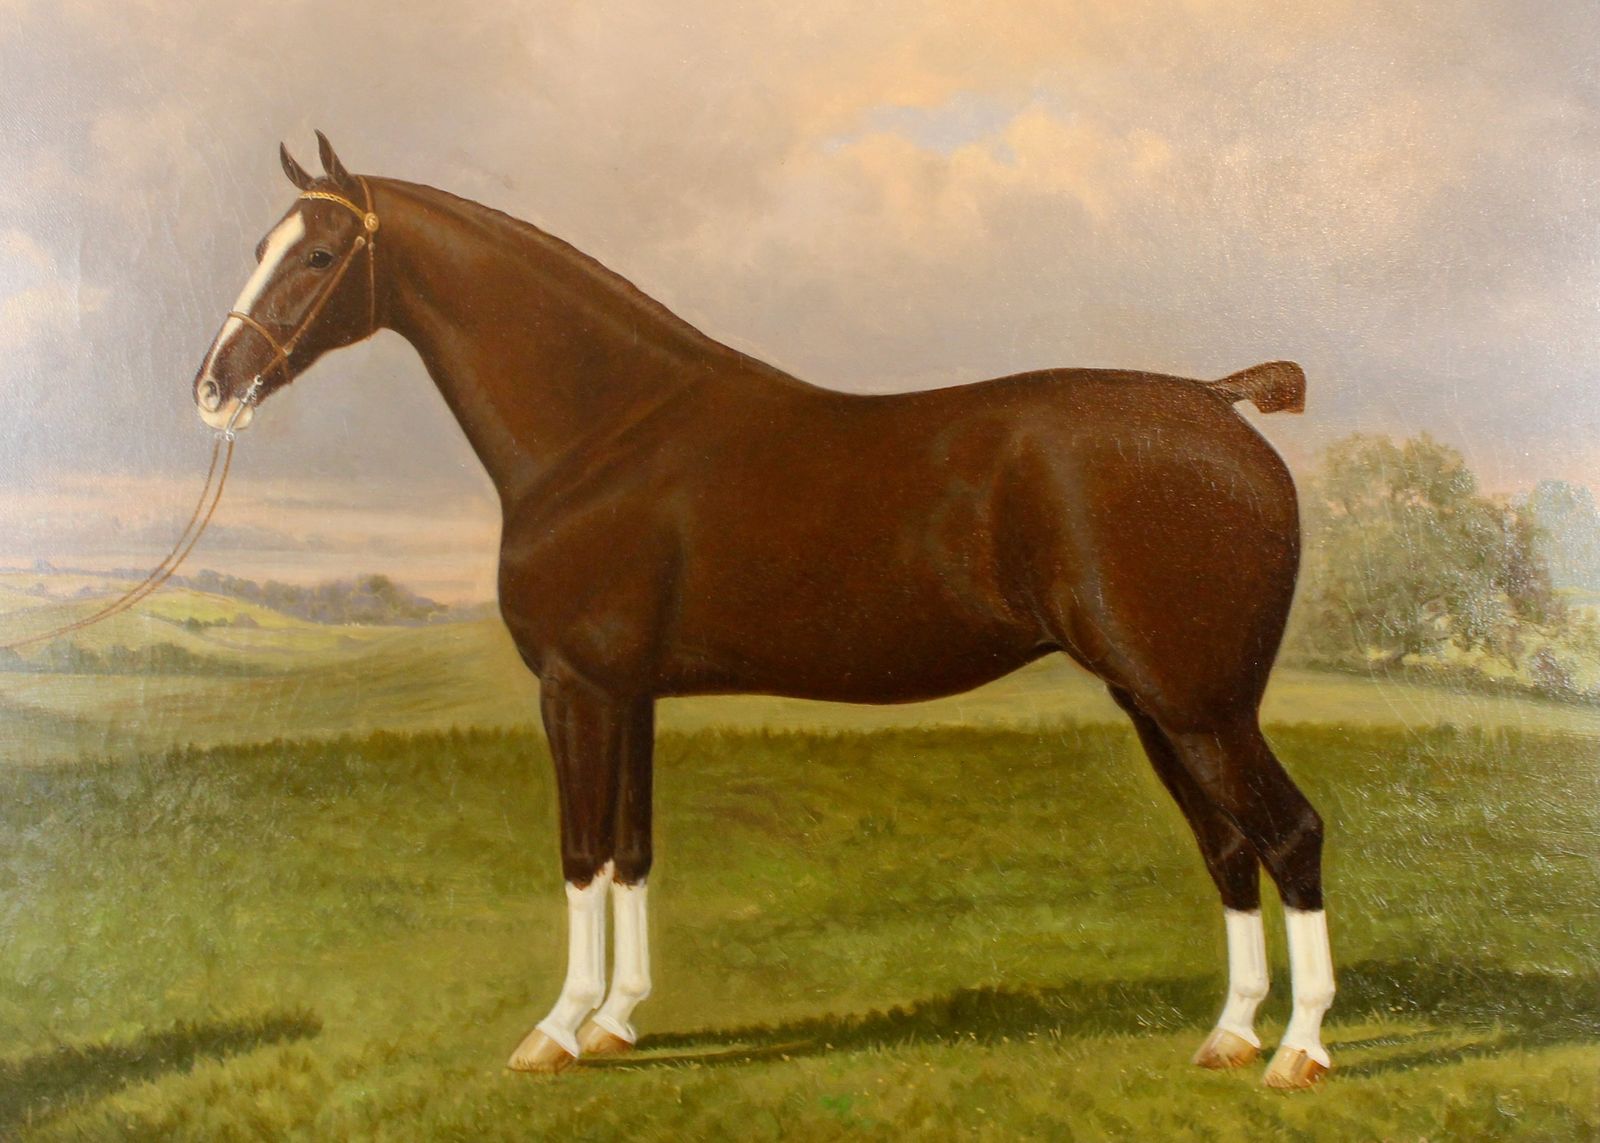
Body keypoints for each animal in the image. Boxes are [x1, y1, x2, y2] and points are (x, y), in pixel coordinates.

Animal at [191, 133, 1335, 1089]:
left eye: (316, 254)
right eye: (260, 245)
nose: (214, 385)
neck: (604, 431)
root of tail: (1220, 401)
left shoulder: (575, 689)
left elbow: (577, 854)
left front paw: (557, 1030)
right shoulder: (629, 694)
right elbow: (632, 850)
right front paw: (619, 1020)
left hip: (1200, 707)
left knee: (1289, 834)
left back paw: (1300, 1050)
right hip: (1160, 706)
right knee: (1228, 848)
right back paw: (1231, 1035)